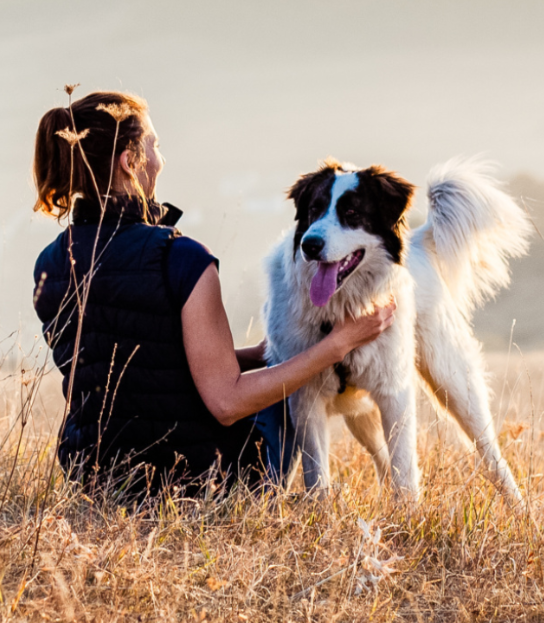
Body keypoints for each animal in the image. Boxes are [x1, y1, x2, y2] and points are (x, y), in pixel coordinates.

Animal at [264, 157, 532, 502]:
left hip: (455, 384)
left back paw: (519, 506)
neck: (343, 310)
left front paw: (408, 512)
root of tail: (416, 243)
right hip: (360, 413)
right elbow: (318, 476)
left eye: (352, 213)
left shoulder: (394, 391)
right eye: (314, 209)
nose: (310, 245)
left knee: (489, 453)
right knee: (381, 457)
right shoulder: (306, 400)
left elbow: (404, 469)